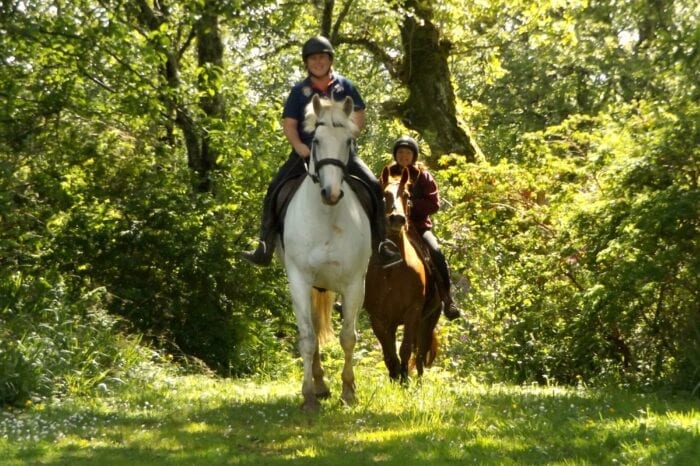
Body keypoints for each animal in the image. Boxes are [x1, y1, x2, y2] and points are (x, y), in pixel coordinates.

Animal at [278, 94, 372, 412]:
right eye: (316, 140)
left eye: (348, 141)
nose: (331, 193)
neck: (327, 216)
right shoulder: (298, 279)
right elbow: (307, 338)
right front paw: (308, 395)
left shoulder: (354, 283)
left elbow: (348, 338)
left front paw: (349, 391)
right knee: (314, 332)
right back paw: (318, 386)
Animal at [364, 166, 440, 380]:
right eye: (383, 194)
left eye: (406, 195)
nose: (397, 219)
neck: (393, 265)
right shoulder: (378, 318)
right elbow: (389, 354)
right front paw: (395, 377)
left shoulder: (413, 312)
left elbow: (405, 349)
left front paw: (404, 378)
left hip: (428, 320)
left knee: (420, 354)